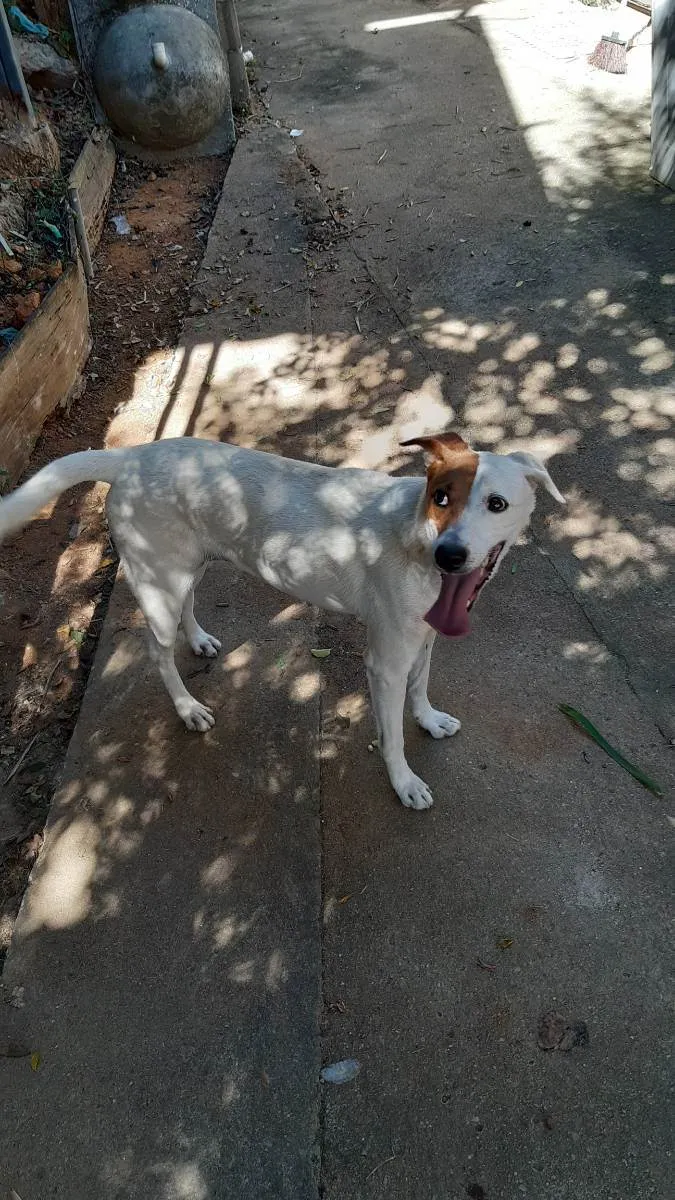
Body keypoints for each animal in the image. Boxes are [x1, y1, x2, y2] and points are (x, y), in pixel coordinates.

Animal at [0, 432, 562, 806]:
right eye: (441, 497)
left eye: (496, 504)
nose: (450, 555)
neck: (415, 535)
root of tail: (132, 456)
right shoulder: (385, 661)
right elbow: (393, 735)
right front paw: (403, 782)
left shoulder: (422, 639)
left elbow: (420, 689)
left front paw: (429, 719)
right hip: (157, 582)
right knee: (158, 651)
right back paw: (187, 708)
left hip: (189, 567)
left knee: (188, 605)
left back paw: (199, 640)